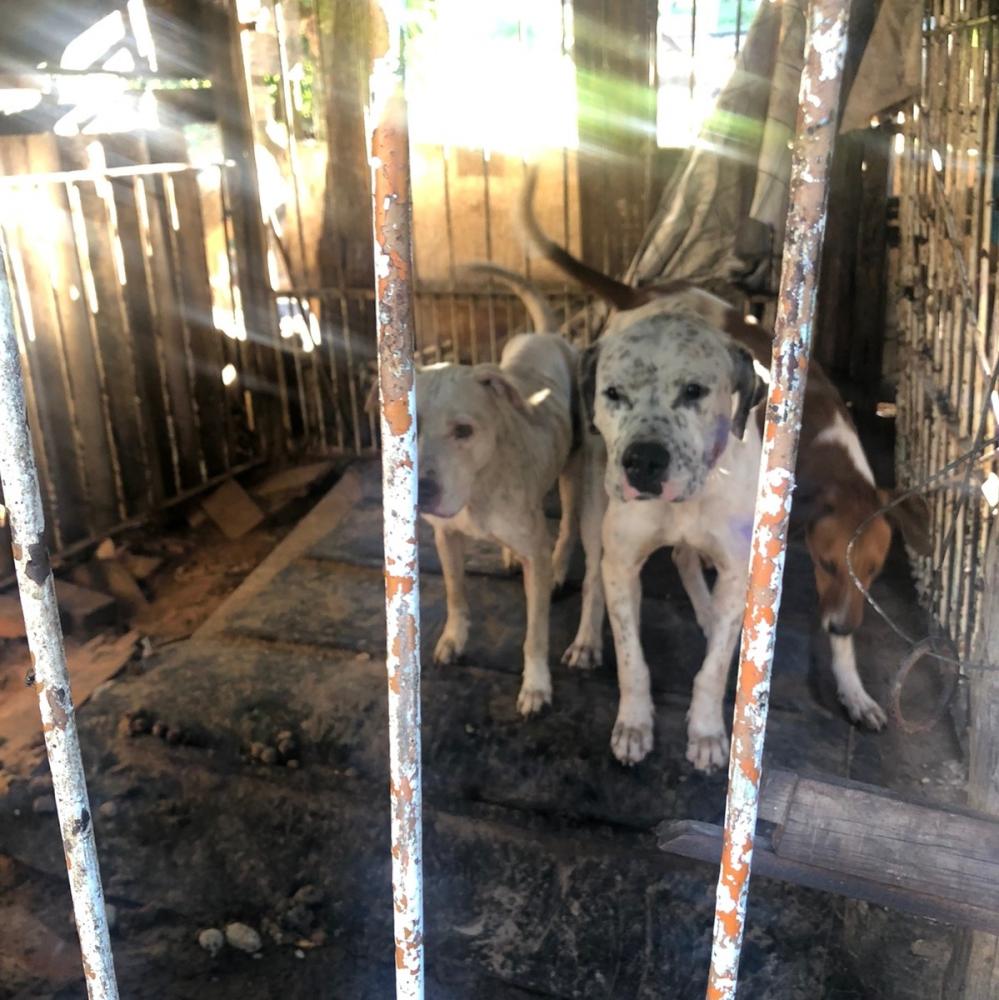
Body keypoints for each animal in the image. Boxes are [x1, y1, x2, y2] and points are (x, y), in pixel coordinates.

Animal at [416, 266, 584, 716]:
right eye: (405, 425)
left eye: (463, 431)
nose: (420, 490)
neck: (479, 487)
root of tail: (544, 334)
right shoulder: (446, 537)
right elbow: (456, 593)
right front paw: (453, 638)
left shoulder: (534, 557)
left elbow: (535, 635)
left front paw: (536, 685)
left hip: (573, 472)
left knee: (568, 524)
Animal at [572, 302, 764, 764]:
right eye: (613, 393)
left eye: (694, 391)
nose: (642, 461)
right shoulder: (622, 565)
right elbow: (631, 662)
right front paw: (633, 724)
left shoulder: (737, 573)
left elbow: (713, 669)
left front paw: (707, 732)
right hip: (593, 507)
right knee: (592, 575)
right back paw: (586, 639)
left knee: (684, 558)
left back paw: (709, 614)